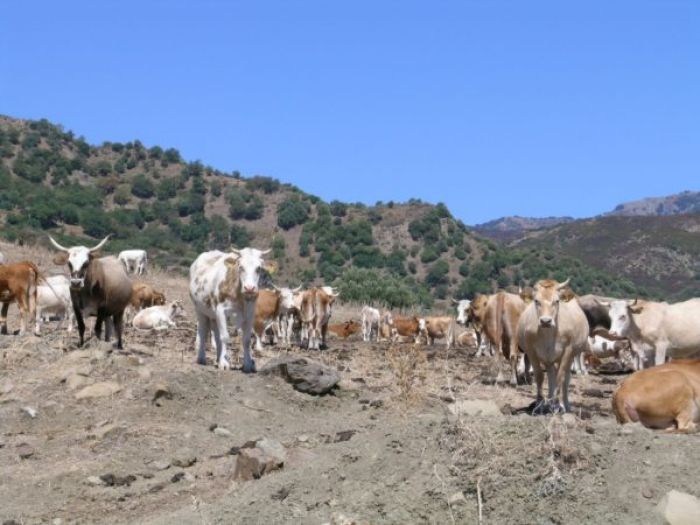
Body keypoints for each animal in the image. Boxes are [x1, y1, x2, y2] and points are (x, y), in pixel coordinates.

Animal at [516, 278, 588, 414]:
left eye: (556, 301)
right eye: (536, 301)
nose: (545, 321)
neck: (548, 334)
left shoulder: (567, 351)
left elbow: (560, 377)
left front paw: (557, 405)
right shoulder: (531, 351)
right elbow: (540, 377)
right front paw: (540, 404)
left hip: (570, 356)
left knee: (565, 378)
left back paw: (564, 405)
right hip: (548, 359)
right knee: (551, 376)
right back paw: (548, 403)